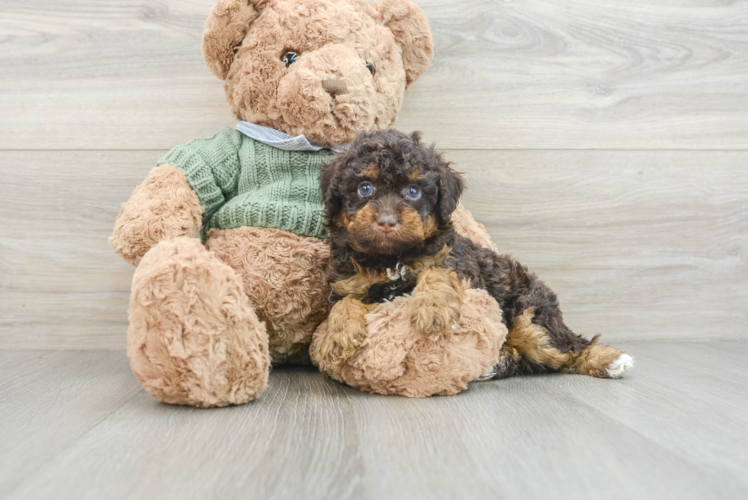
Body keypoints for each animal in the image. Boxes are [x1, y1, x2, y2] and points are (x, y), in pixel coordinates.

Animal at [318, 129, 636, 378]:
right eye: (365, 188)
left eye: (413, 191)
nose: (386, 221)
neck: (389, 257)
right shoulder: (349, 282)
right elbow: (343, 303)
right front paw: (338, 336)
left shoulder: (458, 261)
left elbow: (437, 271)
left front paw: (434, 309)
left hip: (531, 316)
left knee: (567, 349)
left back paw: (609, 360)